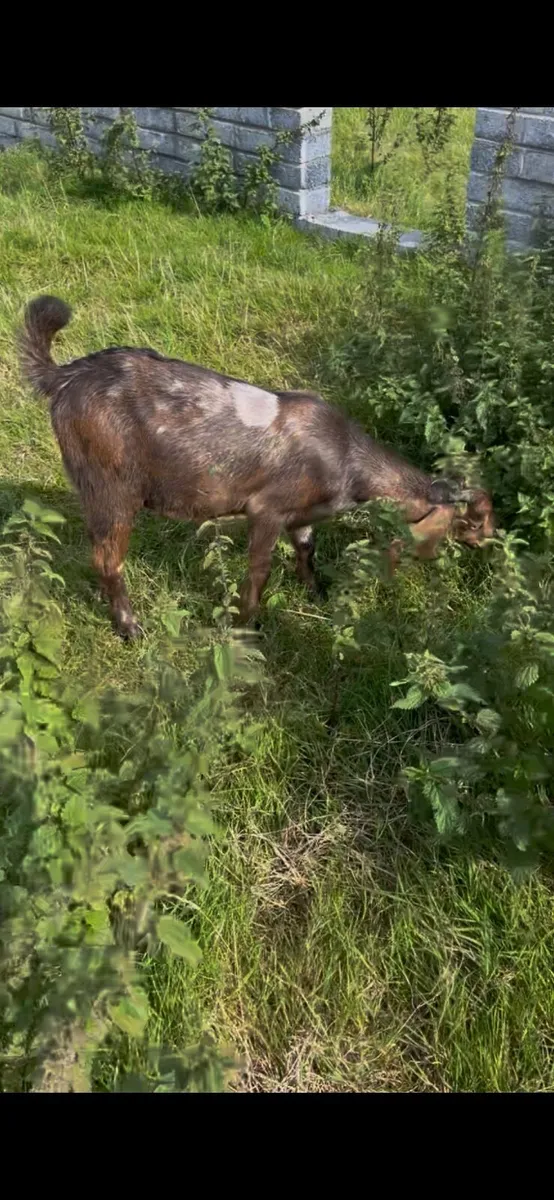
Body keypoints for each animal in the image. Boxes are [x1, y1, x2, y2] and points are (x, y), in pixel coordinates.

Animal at [18, 295, 495, 639]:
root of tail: (64, 378)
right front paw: (246, 626)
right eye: (473, 520)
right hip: (110, 484)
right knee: (105, 559)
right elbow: (259, 571)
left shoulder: (304, 515)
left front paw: (316, 592)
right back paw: (131, 627)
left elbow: (307, 549)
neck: (347, 459)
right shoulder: (268, 509)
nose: (491, 540)